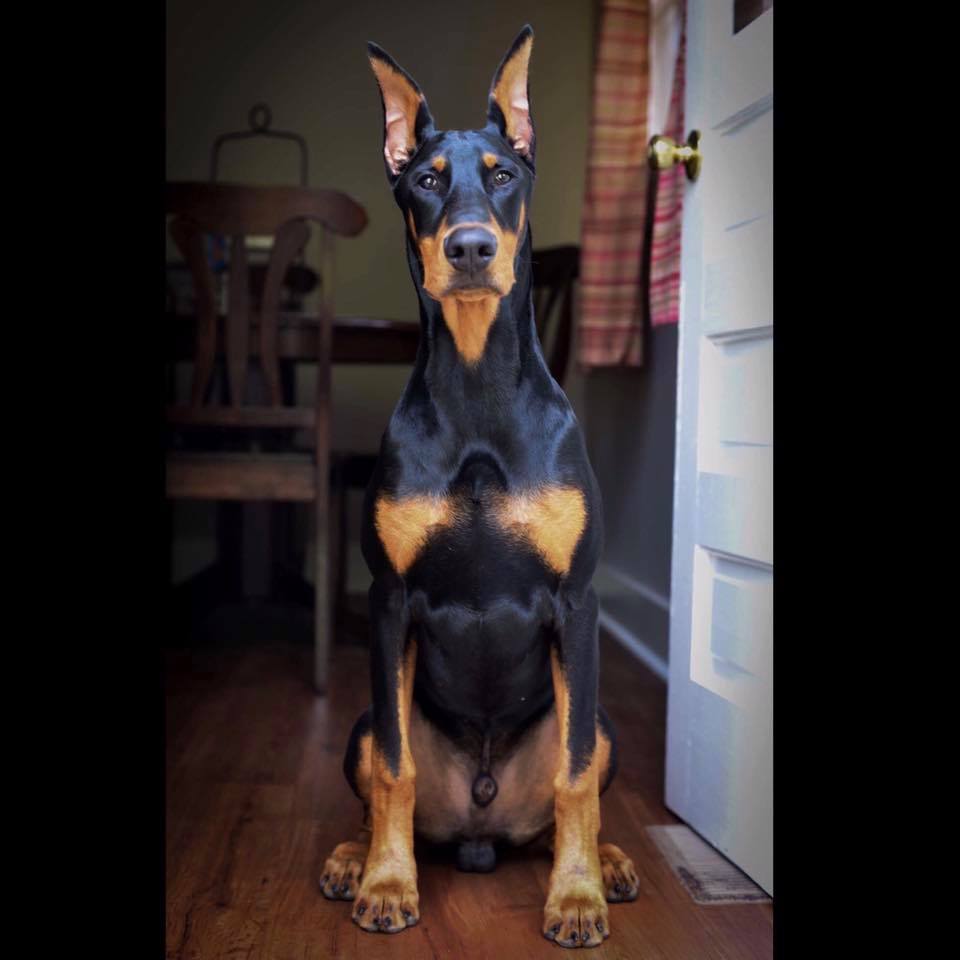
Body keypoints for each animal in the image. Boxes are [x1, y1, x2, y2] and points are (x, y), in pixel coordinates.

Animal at [320, 26, 636, 948]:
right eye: (427, 179)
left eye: (501, 174)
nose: (469, 249)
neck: (477, 387)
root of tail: (482, 831)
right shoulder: (389, 601)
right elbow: (394, 770)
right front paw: (389, 884)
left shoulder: (577, 600)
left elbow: (574, 778)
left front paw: (576, 899)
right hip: (361, 719)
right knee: (380, 770)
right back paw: (353, 857)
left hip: (601, 718)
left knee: (574, 786)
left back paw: (606, 863)